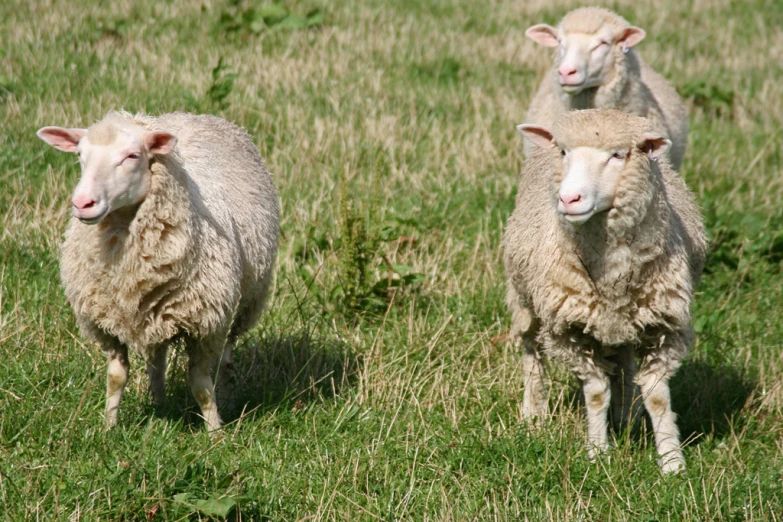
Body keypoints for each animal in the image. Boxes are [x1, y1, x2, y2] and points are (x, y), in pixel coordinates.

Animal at [38, 110, 282, 430]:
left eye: (132, 156)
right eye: (80, 155)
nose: (82, 203)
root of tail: (193, 114)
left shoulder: (207, 323)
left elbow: (201, 385)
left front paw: (215, 431)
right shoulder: (106, 324)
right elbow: (116, 377)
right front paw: (108, 427)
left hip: (249, 298)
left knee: (228, 351)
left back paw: (228, 394)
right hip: (156, 311)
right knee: (158, 356)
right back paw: (158, 401)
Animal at [506, 107, 708, 470]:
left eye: (617, 155)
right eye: (564, 152)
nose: (569, 198)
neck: (610, 272)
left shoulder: (667, 325)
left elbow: (657, 395)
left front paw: (672, 462)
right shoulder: (567, 331)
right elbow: (597, 391)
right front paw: (598, 452)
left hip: (624, 321)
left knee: (625, 361)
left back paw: (626, 415)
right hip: (524, 298)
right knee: (531, 350)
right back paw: (533, 415)